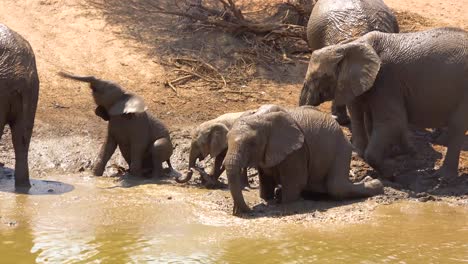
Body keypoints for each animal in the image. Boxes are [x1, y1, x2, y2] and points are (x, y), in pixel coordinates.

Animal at [224, 104, 384, 216]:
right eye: (227, 140)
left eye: (252, 143)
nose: (246, 211)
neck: (260, 117)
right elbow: (265, 182)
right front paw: (268, 199)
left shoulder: (297, 150)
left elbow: (295, 182)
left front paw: (284, 203)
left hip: (341, 148)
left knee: (336, 187)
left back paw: (375, 183)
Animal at [300, 27, 468, 179]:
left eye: (317, 78)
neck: (352, 45)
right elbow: (371, 118)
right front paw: (398, 154)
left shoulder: (386, 79)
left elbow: (392, 121)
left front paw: (391, 172)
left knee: (457, 126)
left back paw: (442, 177)